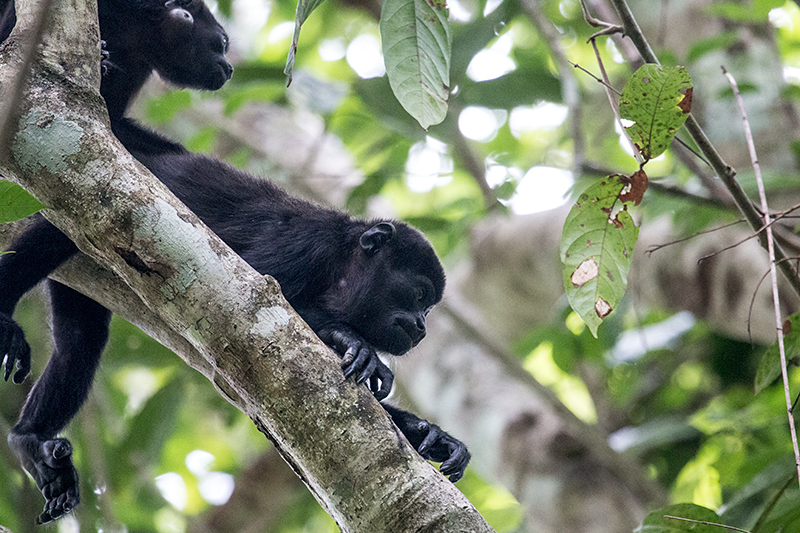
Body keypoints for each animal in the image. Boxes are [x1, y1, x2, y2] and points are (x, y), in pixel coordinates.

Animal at [0, 0, 472, 520]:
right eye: (420, 294)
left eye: (429, 307)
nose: (422, 325)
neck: (342, 266)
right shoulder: (302, 246)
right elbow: (257, 306)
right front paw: (356, 344)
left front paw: (433, 435)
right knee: (58, 232)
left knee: (80, 341)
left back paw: (29, 440)